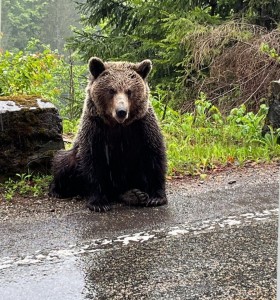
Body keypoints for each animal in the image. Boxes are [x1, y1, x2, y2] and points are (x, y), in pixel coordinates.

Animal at [48, 56, 166, 211]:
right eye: (111, 90)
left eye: (129, 91)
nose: (121, 111)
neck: (118, 125)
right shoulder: (95, 130)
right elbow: (93, 162)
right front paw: (99, 203)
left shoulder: (142, 126)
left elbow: (153, 156)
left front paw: (156, 197)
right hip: (73, 156)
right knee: (63, 163)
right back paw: (56, 190)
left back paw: (134, 194)